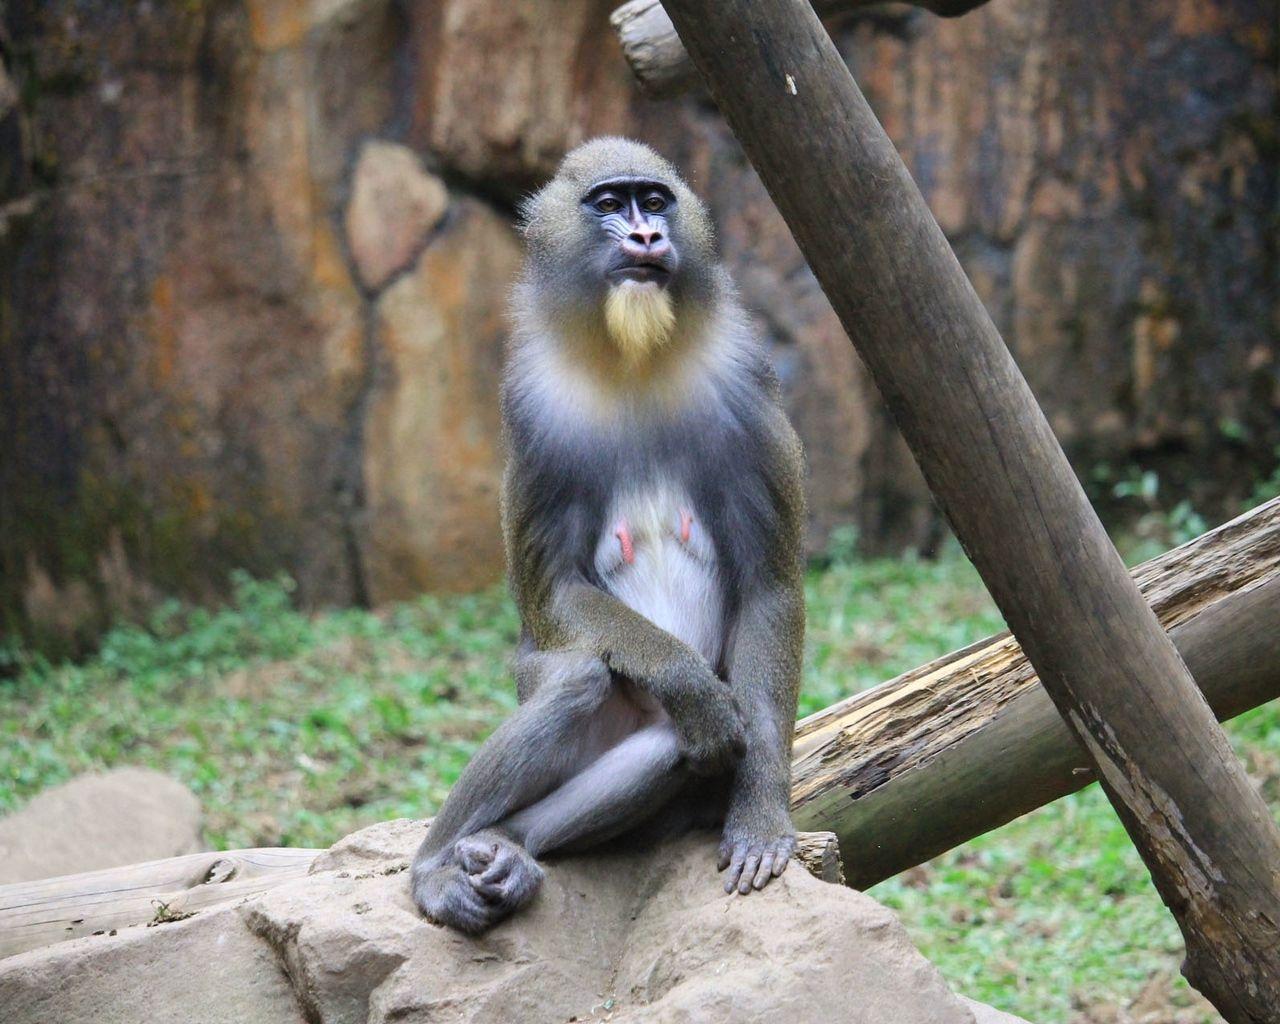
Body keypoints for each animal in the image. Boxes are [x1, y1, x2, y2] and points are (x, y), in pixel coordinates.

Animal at [410, 137, 806, 935]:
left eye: (654, 201)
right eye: (608, 204)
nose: (647, 237)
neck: (635, 361)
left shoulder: (749, 393)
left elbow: (769, 586)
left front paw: (759, 821)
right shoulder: (532, 414)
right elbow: (555, 590)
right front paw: (689, 681)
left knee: (671, 741)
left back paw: (509, 846)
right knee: (582, 679)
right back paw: (437, 868)